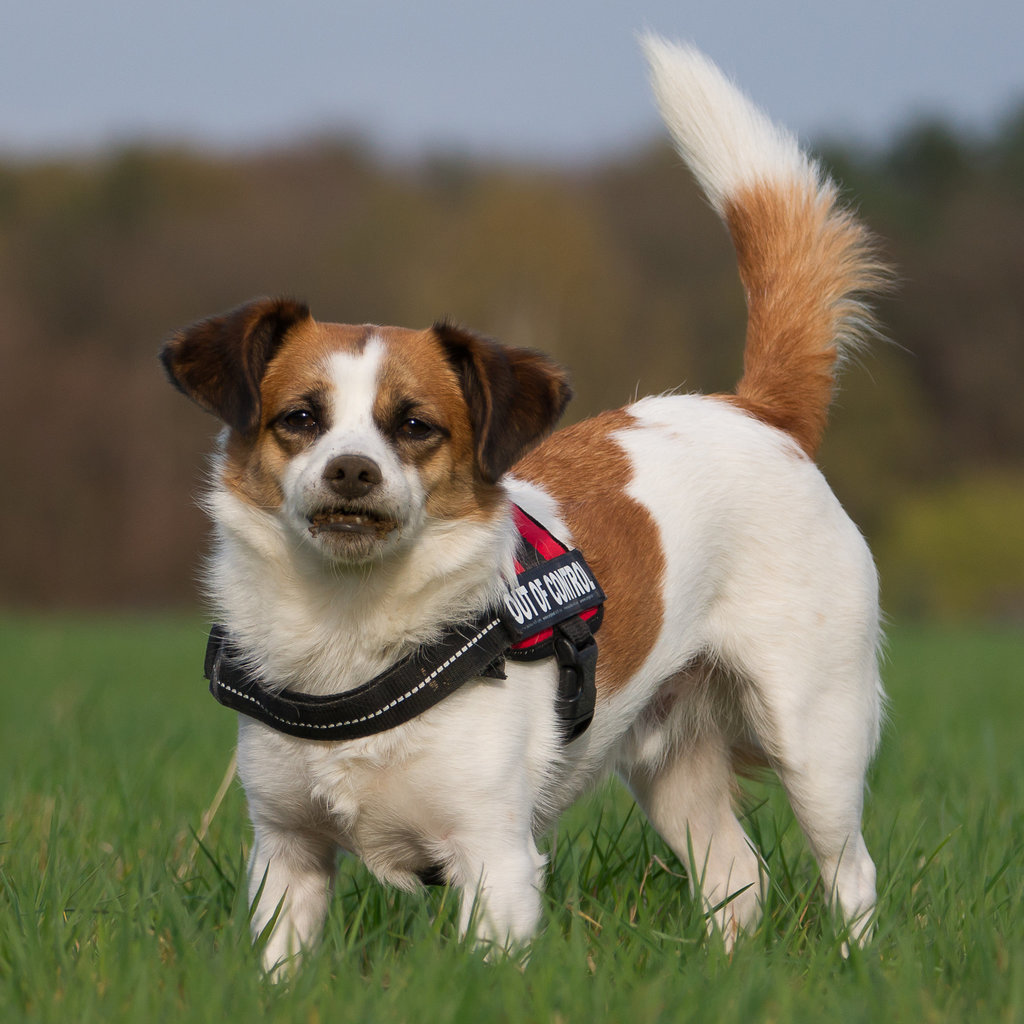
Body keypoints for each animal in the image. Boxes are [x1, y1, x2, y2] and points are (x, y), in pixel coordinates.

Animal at [161, 36, 888, 970]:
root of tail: (753, 410)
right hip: (674, 764)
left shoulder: (493, 858)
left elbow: (488, 962)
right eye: (300, 419)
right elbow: (282, 964)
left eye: (416, 426)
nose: (352, 471)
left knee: (851, 871)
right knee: (739, 876)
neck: (351, 628)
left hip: (815, 734)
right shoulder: (286, 855)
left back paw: (856, 967)